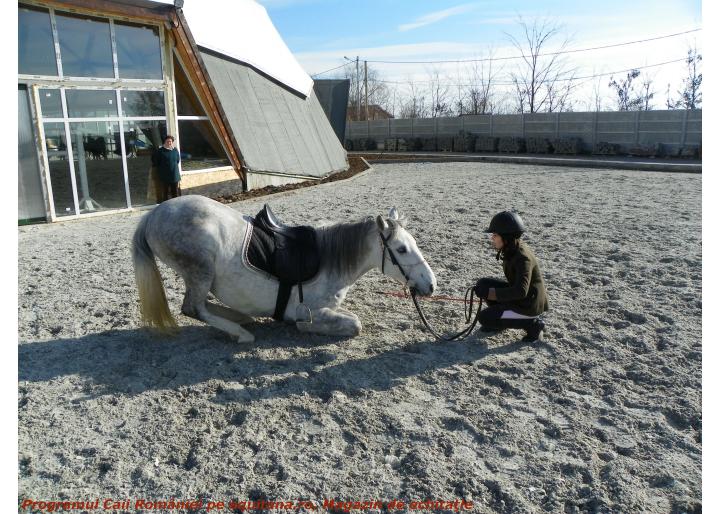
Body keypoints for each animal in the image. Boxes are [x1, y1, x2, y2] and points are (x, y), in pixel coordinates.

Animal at [130, 195, 436, 340]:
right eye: (401, 249)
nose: (431, 284)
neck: (330, 260)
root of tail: (153, 214)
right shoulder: (315, 311)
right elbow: (353, 324)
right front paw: (304, 327)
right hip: (199, 270)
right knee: (193, 308)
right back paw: (241, 332)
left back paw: (241, 318)